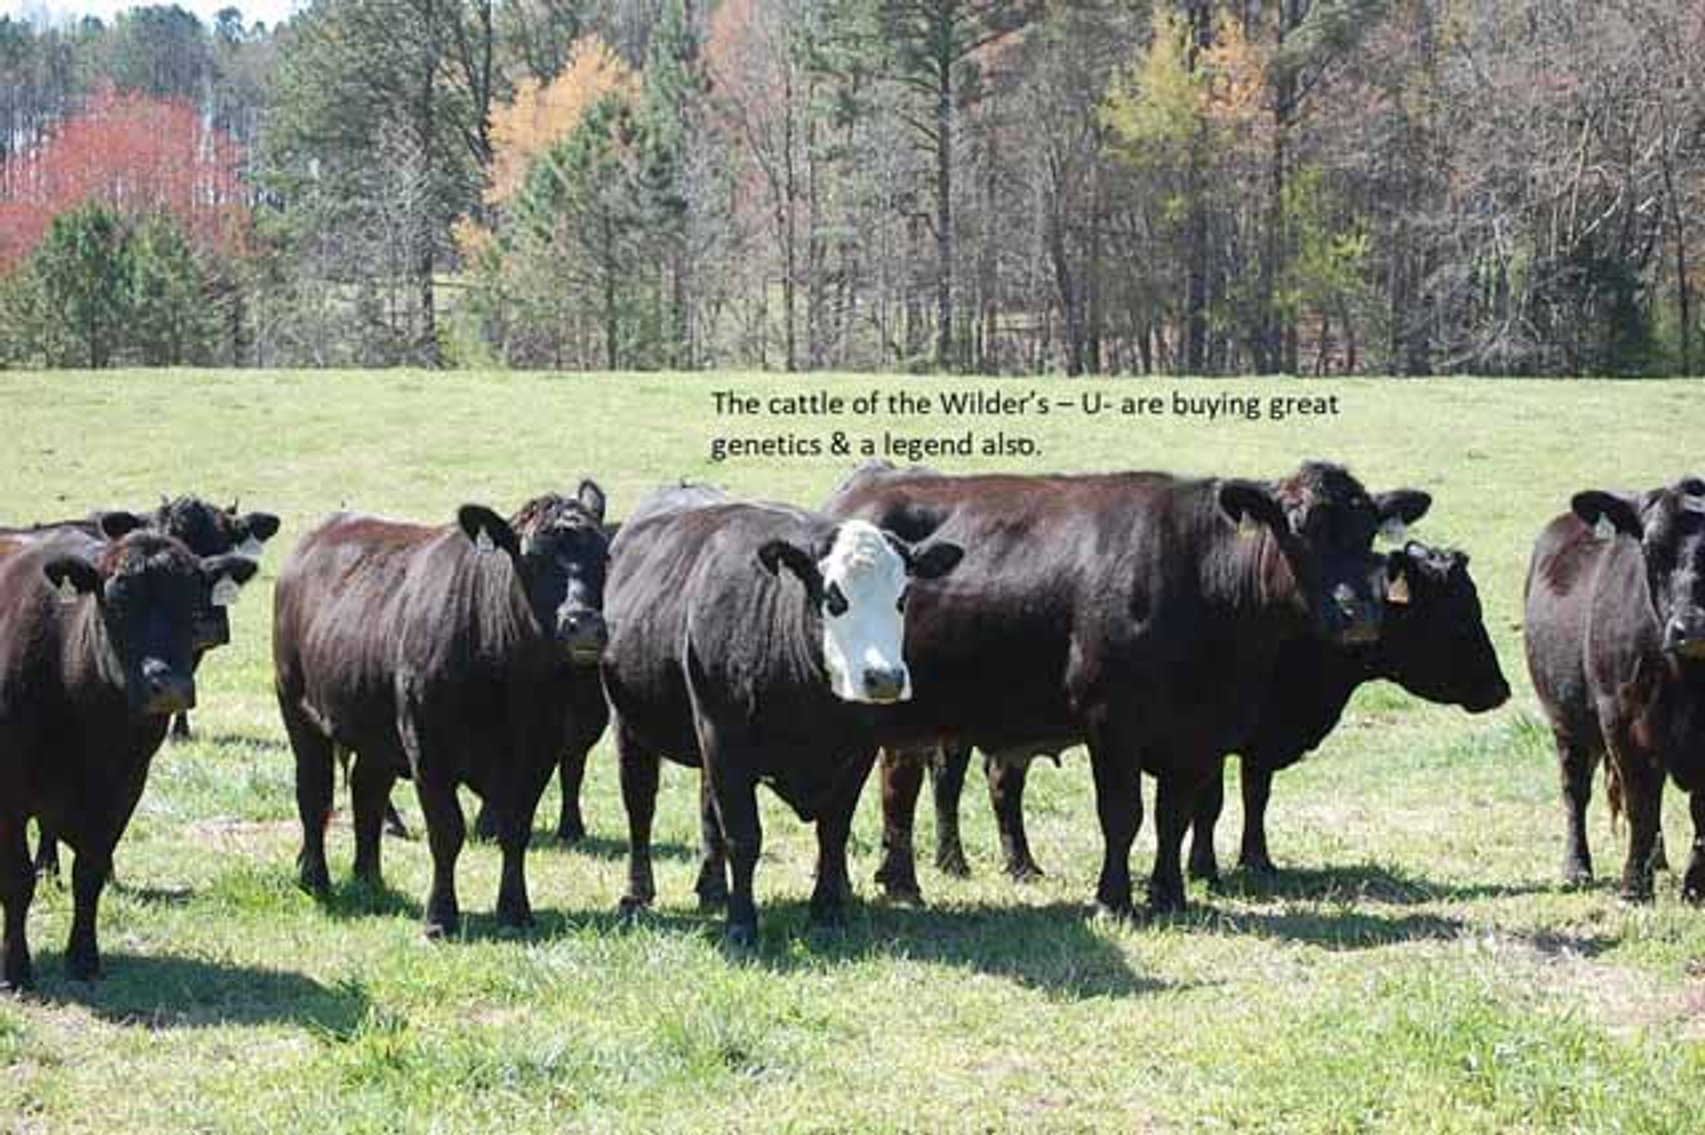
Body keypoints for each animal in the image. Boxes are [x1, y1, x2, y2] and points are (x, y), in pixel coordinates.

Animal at [0, 530, 258, 989]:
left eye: (194, 607)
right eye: (117, 603)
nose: (170, 685)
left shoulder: (123, 788)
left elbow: (90, 874)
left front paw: (84, 959)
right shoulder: (9, 793)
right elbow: (16, 880)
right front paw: (15, 968)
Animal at [272, 483, 610, 938]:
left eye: (605, 556)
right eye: (531, 558)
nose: (584, 624)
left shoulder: (539, 752)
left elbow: (515, 830)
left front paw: (516, 911)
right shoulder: (427, 749)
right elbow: (447, 831)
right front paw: (440, 917)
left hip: (376, 730)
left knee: (367, 792)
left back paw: (369, 877)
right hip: (298, 709)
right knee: (314, 793)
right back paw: (315, 880)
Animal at [600, 484, 963, 946]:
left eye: (902, 598)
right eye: (834, 598)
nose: (884, 678)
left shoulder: (857, 752)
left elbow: (833, 830)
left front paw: (827, 911)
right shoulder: (724, 737)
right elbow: (743, 835)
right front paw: (742, 924)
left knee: (706, 810)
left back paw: (713, 889)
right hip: (630, 726)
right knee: (640, 805)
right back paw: (637, 894)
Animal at [824, 460, 1430, 916]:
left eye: (1369, 532)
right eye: (1299, 528)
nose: (1359, 612)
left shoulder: (1199, 735)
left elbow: (1176, 816)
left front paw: (1169, 894)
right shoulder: (1112, 722)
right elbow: (1123, 813)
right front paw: (1113, 899)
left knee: (898, 782)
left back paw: (901, 881)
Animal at [1525, 478, 1705, 902]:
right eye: (1651, 549)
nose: (1690, 628)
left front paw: (1695, 886)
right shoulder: (1622, 724)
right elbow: (1640, 803)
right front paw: (1634, 887)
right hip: (1567, 723)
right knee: (1575, 791)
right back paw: (1577, 868)